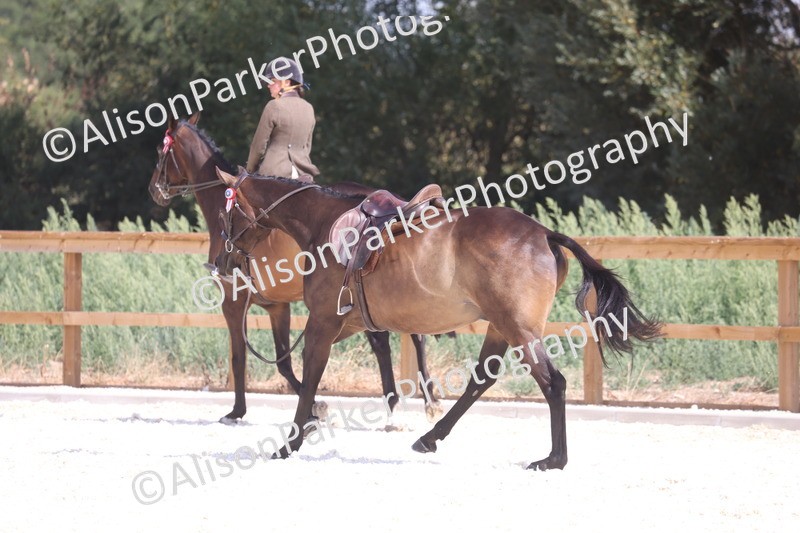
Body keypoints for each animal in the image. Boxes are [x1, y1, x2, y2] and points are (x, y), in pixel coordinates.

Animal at [146, 113, 443, 423]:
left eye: (160, 152)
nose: (154, 189)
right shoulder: (278, 306)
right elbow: (284, 362)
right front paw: (313, 404)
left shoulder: (233, 301)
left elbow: (240, 357)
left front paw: (240, 410)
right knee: (397, 337)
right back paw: (405, 402)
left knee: (394, 338)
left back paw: (419, 401)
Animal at [213, 167, 661, 470]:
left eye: (225, 216)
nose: (220, 260)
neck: (323, 224)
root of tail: (544, 234)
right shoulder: (347, 323)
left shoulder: (323, 322)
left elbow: (308, 377)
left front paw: (291, 441)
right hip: (500, 326)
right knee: (481, 380)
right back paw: (431, 437)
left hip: (518, 328)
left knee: (552, 383)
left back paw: (553, 458)